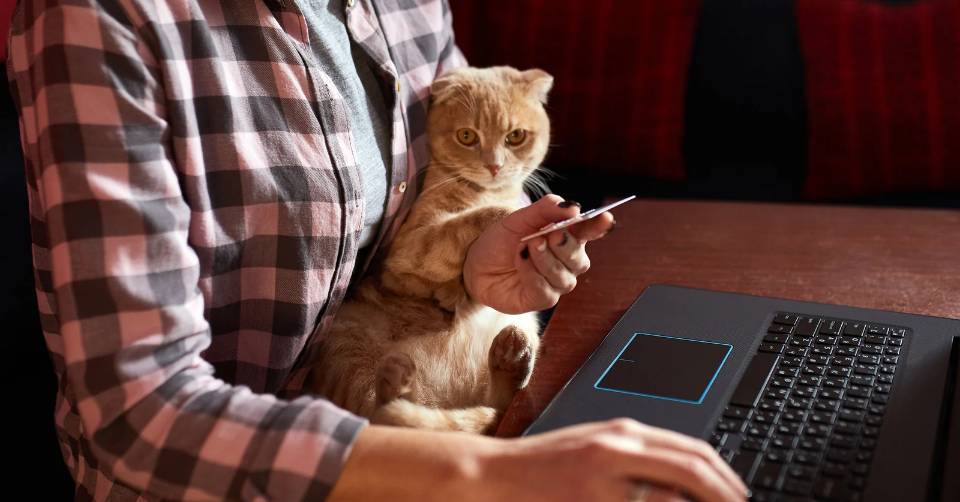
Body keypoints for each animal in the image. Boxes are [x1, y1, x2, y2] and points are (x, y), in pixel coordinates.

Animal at [304, 65, 552, 436]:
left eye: (515, 137)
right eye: (467, 136)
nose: (494, 166)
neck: (482, 192)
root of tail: (444, 395)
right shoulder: (408, 251)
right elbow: (458, 229)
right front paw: (502, 218)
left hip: (521, 327)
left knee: (498, 404)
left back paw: (509, 358)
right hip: (348, 347)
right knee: (384, 414)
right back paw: (399, 382)